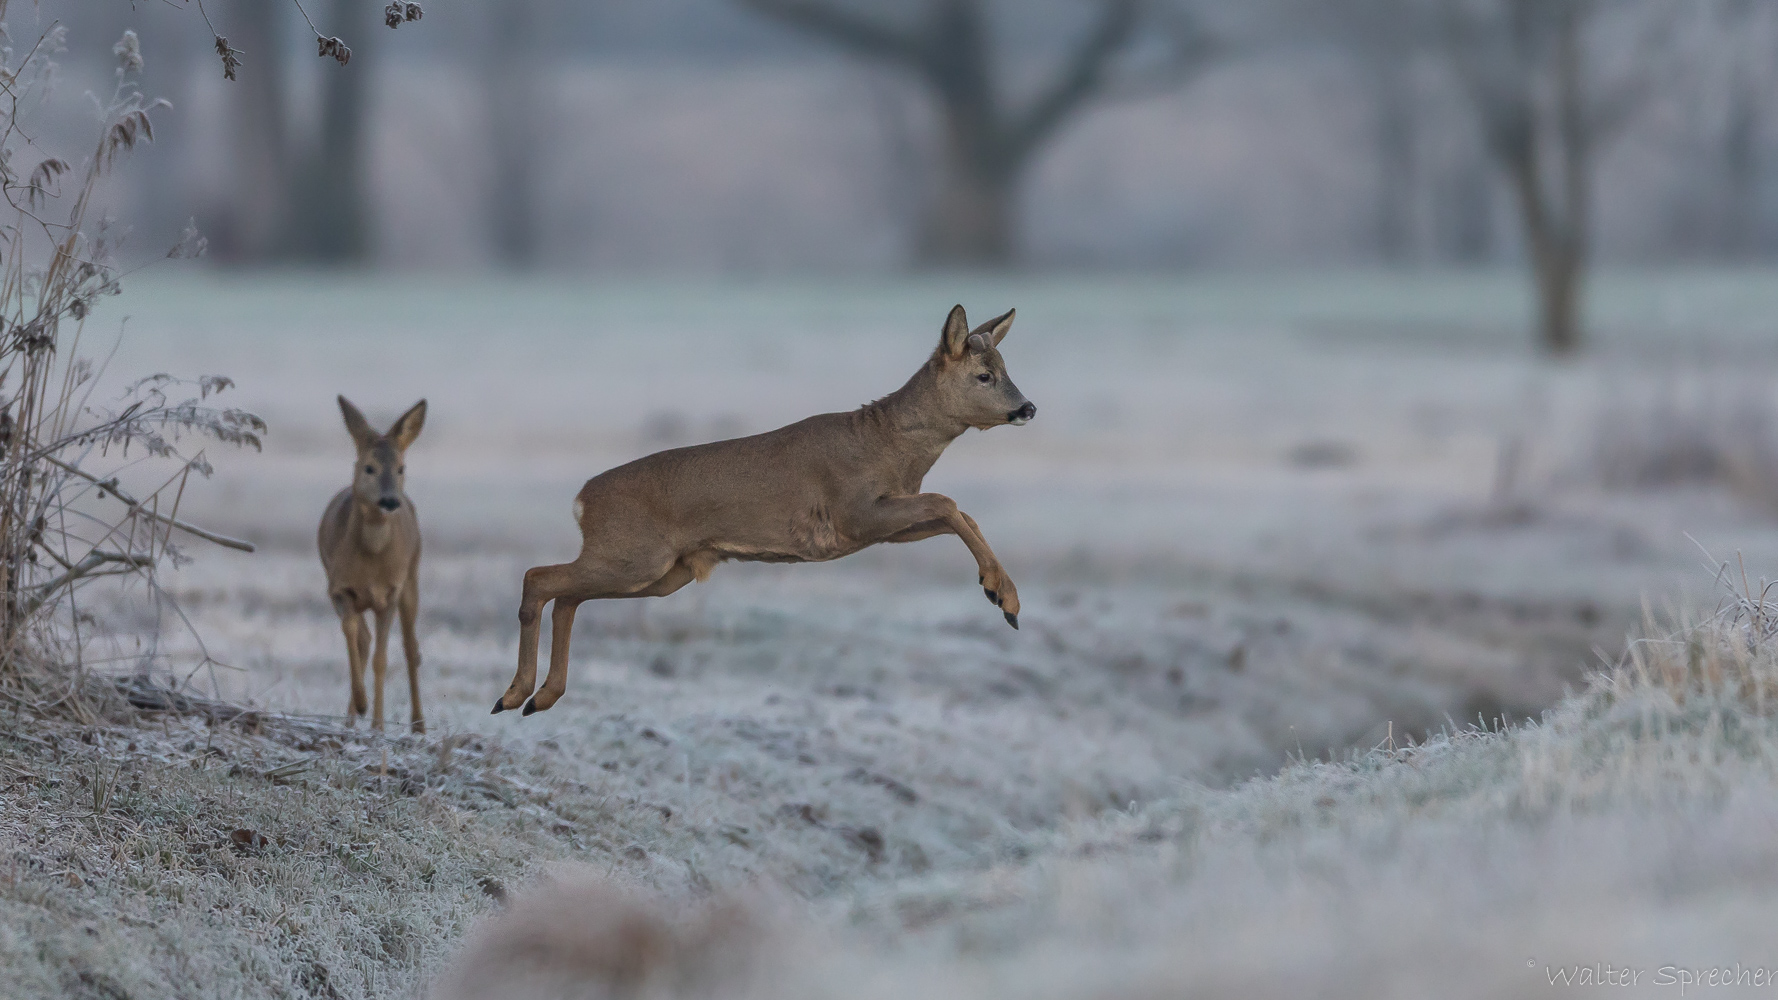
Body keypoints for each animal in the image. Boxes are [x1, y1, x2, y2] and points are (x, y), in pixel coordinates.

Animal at [321, 396, 428, 733]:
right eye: (369, 467)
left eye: (401, 468)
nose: (390, 501)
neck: (370, 562)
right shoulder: (338, 588)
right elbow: (353, 637)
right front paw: (361, 703)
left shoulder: (391, 592)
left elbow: (383, 659)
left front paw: (378, 726)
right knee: (365, 640)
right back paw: (351, 719)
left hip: (413, 577)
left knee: (411, 648)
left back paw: (419, 724)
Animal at [494, 298, 1038, 711]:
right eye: (984, 375)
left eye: (1006, 368)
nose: (1027, 407)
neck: (889, 446)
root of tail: (582, 500)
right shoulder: (854, 510)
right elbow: (948, 502)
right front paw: (1004, 598)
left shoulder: (882, 522)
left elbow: (960, 513)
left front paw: (1001, 593)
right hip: (634, 555)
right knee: (539, 578)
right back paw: (514, 693)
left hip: (661, 572)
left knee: (567, 595)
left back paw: (540, 697)